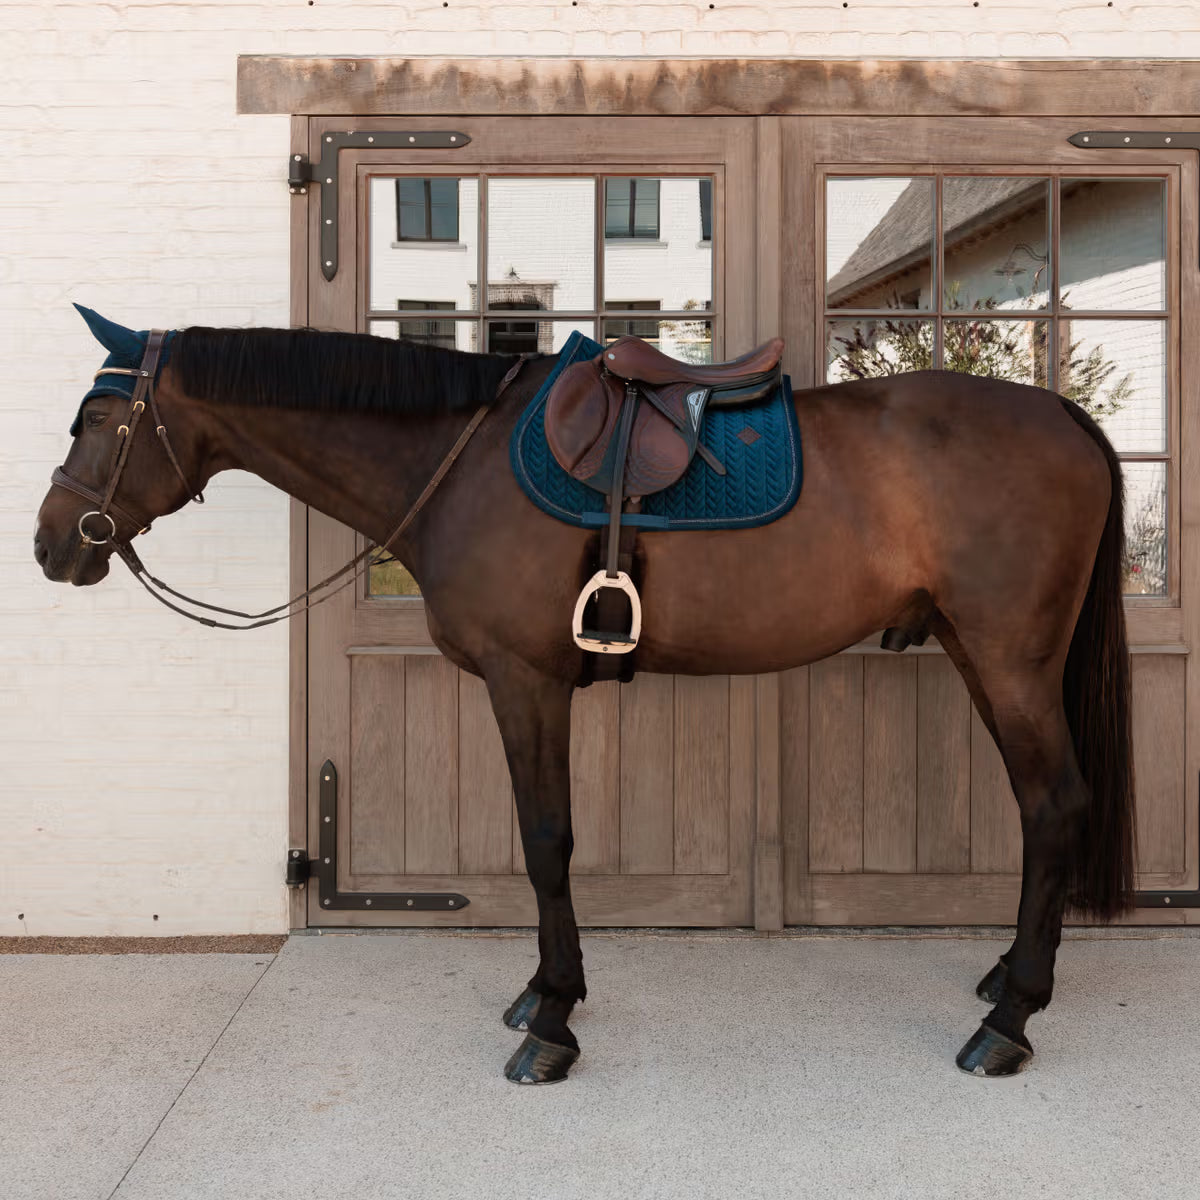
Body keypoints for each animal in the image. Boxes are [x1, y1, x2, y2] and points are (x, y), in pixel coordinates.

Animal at [35, 306, 1134, 1085]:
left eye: (99, 418)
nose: (51, 542)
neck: (461, 460)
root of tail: (1065, 415)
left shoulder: (527, 682)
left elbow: (546, 841)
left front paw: (552, 1021)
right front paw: (540, 1000)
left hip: (1010, 659)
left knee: (1054, 807)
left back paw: (1006, 1023)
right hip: (979, 653)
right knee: (1041, 813)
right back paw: (1007, 979)